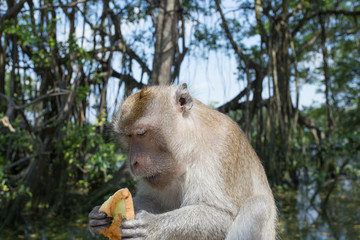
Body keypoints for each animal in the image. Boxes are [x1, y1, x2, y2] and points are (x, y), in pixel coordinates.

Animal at [88, 83, 278, 239]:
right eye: (128, 136)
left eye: (141, 133)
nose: (133, 162)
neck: (189, 148)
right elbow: (154, 201)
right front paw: (98, 214)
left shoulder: (221, 147)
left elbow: (224, 215)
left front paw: (151, 226)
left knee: (257, 207)